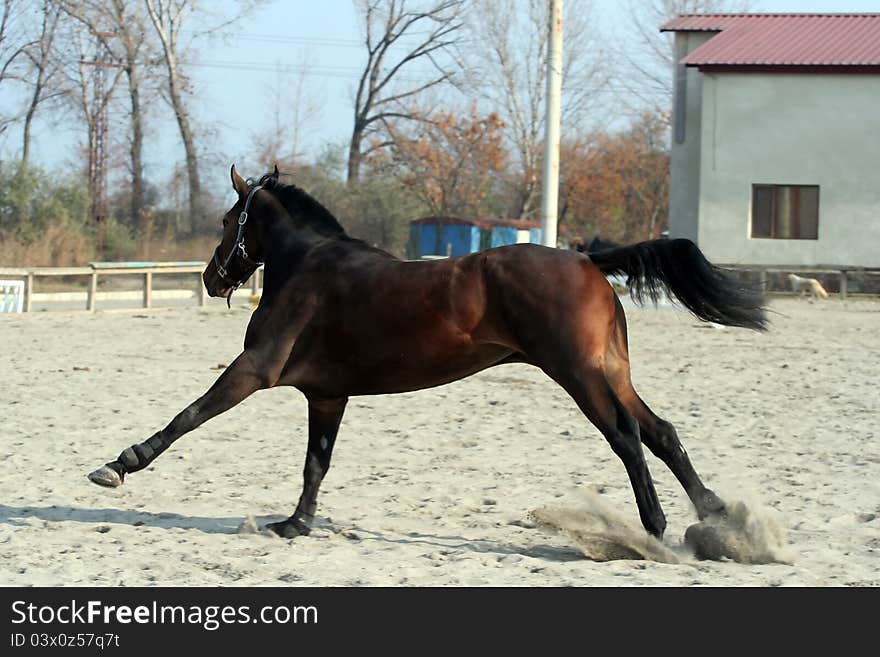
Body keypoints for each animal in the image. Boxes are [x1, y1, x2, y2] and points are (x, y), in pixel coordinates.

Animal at [86, 167, 768, 540]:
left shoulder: (256, 370)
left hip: (578, 375)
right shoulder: (327, 394)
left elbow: (190, 415)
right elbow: (316, 463)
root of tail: (585, 259)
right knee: (661, 431)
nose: (210, 278)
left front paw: (120, 464)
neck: (307, 268)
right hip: (610, 371)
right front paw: (295, 523)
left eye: (231, 221)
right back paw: (713, 515)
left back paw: (657, 528)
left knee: (627, 438)